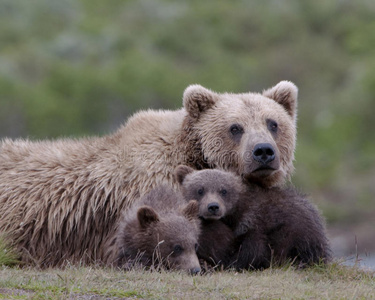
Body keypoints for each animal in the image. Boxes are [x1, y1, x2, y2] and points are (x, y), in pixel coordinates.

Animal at [176, 166, 332, 270]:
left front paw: (230, 264)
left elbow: (253, 249)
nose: (213, 207)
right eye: (200, 190)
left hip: (300, 232)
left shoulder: (256, 221)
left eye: (224, 190)